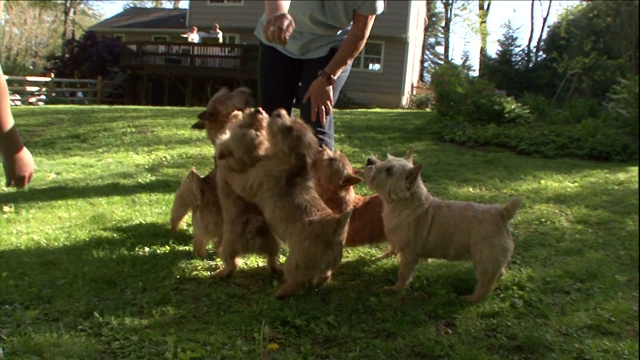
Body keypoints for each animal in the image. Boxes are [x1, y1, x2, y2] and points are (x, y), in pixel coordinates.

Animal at [362, 150, 524, 304]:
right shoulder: (397, 242)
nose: (369, 160)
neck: (404, 203)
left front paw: (396, 288)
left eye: (389, 170)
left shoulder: (409, 254)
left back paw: (470, 299)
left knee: (486, 284)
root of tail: (501, 214)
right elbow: (391, 250)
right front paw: (381, 257)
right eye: (386, 159)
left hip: (484, 261)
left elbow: (404, 274)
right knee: (499, 273)